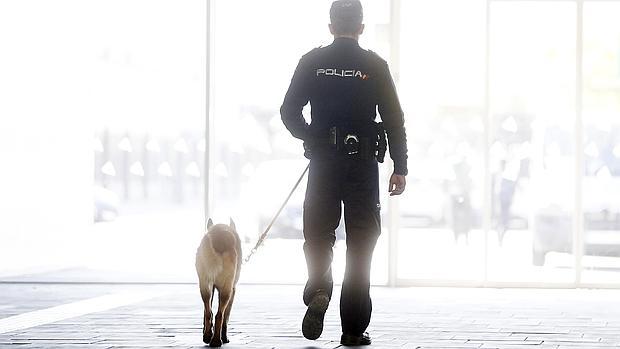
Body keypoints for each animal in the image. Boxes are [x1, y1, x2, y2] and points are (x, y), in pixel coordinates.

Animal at [195, 218, 241, 346]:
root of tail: (220, 237)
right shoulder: (232, 290)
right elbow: (226, 317)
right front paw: (225, 337)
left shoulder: (211, 287)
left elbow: (206, 310)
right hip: (227, 289)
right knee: (219, 315)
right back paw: (216, 341)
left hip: (204, 285)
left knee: (208, 312)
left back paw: (207, 337)